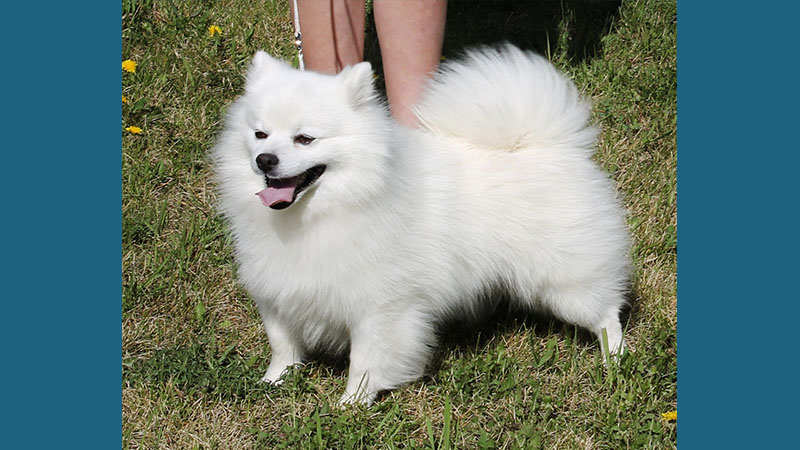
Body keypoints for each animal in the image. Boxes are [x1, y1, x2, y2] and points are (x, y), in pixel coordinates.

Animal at [212, 44, 632, 404]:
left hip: (565, 282)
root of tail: (548, 144)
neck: (326, 209)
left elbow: (366, 360)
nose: (265, 159)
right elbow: (282, 345)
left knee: (606, 315)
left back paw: (615, 360)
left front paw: (352, 404)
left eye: (305, 139)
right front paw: (273, 383)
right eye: (259, 134)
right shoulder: (277, 293)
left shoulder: (379, 307)